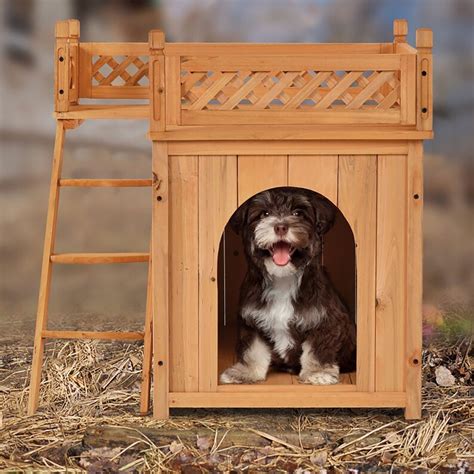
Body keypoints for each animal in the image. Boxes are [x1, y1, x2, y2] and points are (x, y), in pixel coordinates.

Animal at [220, 188, 354, 386]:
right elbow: (253, 350)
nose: (281, 227)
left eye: (298, 213)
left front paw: (317, 372)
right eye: (264, 214)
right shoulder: (252, 321)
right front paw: (245, 372)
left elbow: (318, 349)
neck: (283, 278)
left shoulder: (326, 320)